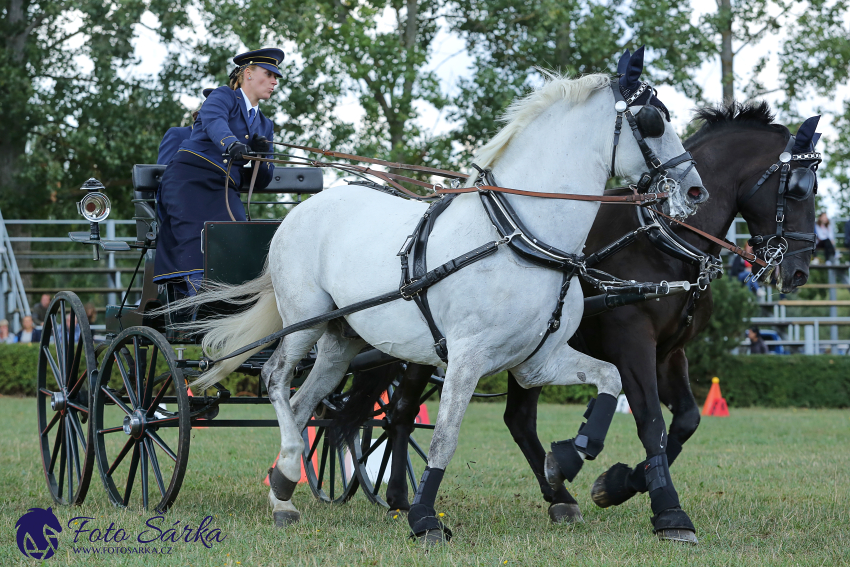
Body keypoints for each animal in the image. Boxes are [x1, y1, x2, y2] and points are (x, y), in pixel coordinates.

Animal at [184, 67, 704, 540]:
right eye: (652, 121)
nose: (695, 191)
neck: (521, 237)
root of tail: (301, 211)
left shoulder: (538, 360)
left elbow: (610, 382)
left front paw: (567, 462)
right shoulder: (467, 357)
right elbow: (445, 438)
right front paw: (424, 517)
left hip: (340, 340)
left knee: (304, 401)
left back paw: (283, 489)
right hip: (303, 322)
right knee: (276, 379)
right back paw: (289, 473)